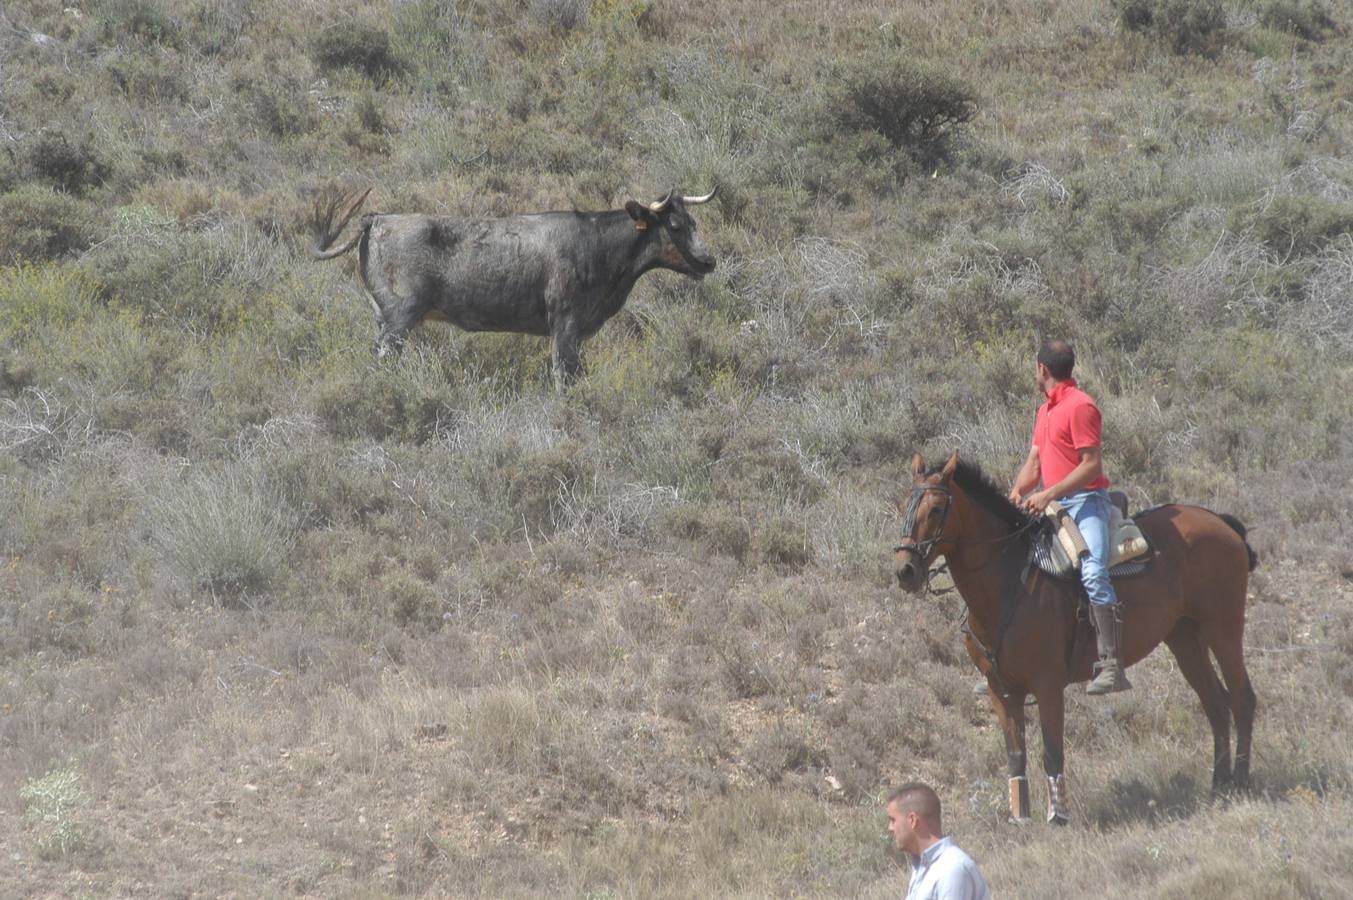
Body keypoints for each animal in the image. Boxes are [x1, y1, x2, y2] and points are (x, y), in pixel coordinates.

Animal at [309, 188, 719, 384]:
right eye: (675, 225)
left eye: (694, 221)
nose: (709, 260)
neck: (596, 245)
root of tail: (377, 218)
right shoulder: (564, 325)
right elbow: (563, 374)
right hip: (398, 318)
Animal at [887, 452, 1255, 822]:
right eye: (904, 504)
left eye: (936, 509)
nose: (906, 570)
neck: (1009, 584)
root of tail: (1220, 522)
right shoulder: (1000, 690)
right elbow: (1016, 755)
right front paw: (1020, 817)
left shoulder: (1048, 685)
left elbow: (1052, 752)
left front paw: (1058, 817)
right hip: (1185, 638)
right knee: (1216, 705)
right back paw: (1218, 786)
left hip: (1223, 628)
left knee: (1241, 699)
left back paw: (1240, 782)